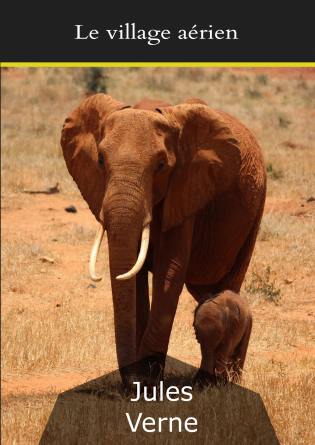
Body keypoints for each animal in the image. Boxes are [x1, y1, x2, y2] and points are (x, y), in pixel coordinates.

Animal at [59, 94, 266, 388]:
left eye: (161, 166)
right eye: (100, 161)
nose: (132, 381)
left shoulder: (187, 187)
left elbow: (169, 270)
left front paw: (147, 380)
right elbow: (132, 273)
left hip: (254, 214)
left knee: (228, 284)